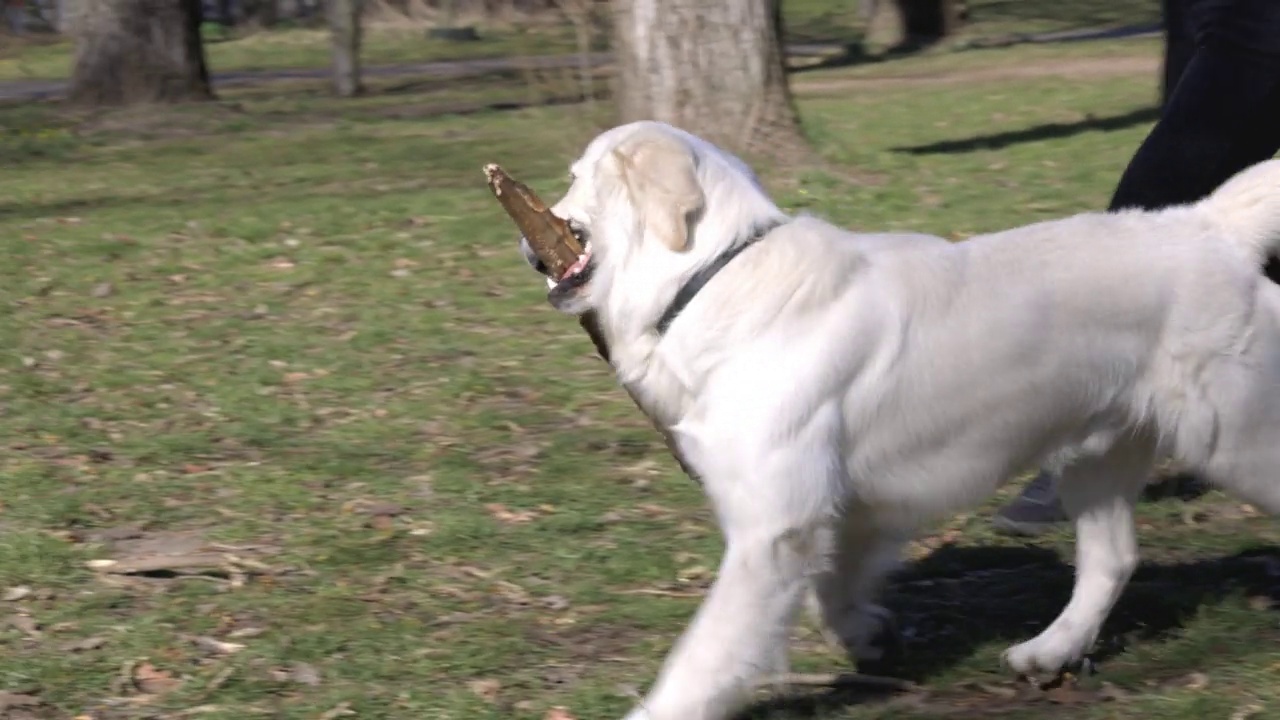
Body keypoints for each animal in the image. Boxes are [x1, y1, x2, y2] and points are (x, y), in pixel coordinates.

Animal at [514, 120, 1280, 717]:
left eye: (578, 179)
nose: (526, 246)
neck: (715, 274)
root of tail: (1208, 223)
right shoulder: (845, 507)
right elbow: (831, 593)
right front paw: (868, 635)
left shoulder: (772, 528)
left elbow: (709, 650)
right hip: (1093, 455)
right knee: (1112, 559)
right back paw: (1049, 650)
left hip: (1234, 438)